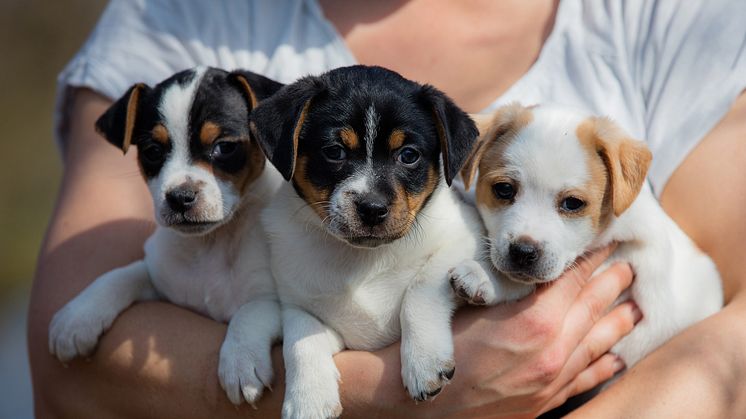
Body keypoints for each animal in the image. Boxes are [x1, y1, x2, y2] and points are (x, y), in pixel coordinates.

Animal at [47, 67, 284, 406]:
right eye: (152, 151)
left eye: (225, 147)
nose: (180, 197)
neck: (211, 244)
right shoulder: (162, 282)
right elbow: (120, 274)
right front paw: (78, 315)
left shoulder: (277, 301)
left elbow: (249, 311)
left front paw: (242, 362)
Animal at [250, 65, 524, 419]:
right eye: (334, 152)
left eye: (408, 155)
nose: (372, 208)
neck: (362, 258)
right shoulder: (300, 305)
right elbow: (300, 339)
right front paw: (307, 400)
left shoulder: (464, 238)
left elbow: (420, 290)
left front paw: (423, 362)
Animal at [448, 103, 720, 370]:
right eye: (504, 189)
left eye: (572, 203)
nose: (523, 253)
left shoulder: (630, 259)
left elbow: (526, 282)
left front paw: (483, 275)